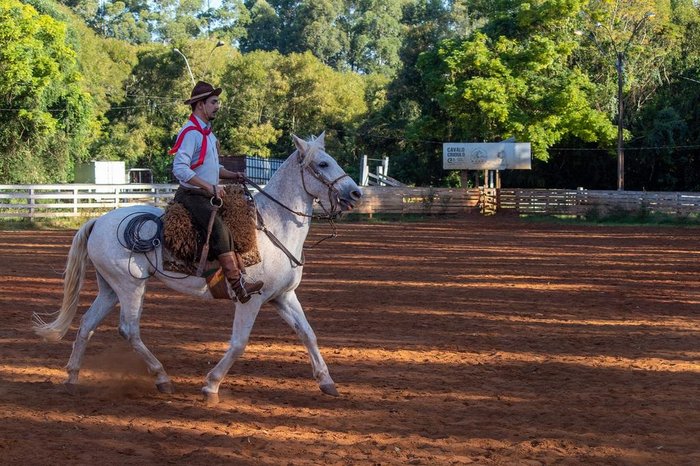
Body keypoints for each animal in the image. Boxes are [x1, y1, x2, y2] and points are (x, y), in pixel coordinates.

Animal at [32, 133, 360, 402]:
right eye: (323, 163)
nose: (356, 193)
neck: (272, 225)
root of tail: (98, 221)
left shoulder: (283, 297)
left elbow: (308, 334)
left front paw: (327, 382)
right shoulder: (251, 299)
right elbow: (239, 343)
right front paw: (211, 385)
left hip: (109, 288)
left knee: (87, 324)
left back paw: (72, 378)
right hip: (130, 286)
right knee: (129, 329)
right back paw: (162, 378)